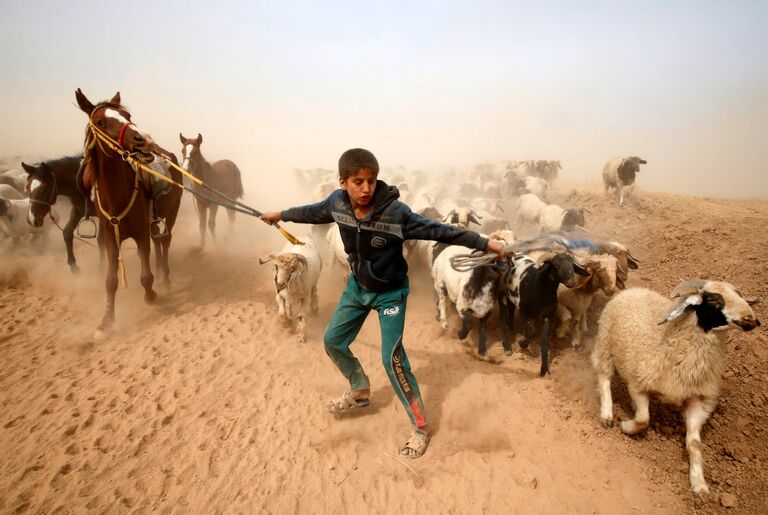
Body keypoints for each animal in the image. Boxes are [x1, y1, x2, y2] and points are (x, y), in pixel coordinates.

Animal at [76, 88, 183, 338]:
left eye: (127, 115)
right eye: (101, 121)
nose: (143, 140)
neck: (118, 197)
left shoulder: (141, 234)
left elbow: (145, 277)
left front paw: (152, 296)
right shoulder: (110, 238)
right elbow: (111, 281)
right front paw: (106, 322)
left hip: (172, 214)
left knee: (165, 241)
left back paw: (165, 279)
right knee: (159, 241)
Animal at [592, 282, 760, 496]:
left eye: (739, 294)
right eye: (713, 299)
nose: (751, 319)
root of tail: (635, 289)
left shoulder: (697, 399)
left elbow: (694, 443)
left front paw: (699, 484)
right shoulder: (639, 383)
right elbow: (643, 419)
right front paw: (626, 427)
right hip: (605, 342)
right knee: (603, 376)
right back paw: (607, 414)